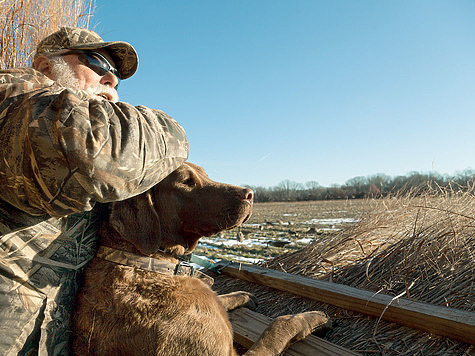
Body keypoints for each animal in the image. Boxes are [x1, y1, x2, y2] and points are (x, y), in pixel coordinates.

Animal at [72, 163, 330, 354]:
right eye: (187, 182)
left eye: (205, 174)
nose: (250, 194)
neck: (151, 264)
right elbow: (277, 327)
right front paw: (311, 318)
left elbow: (221, 298)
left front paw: (242, 295)